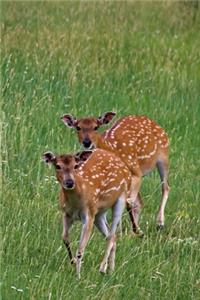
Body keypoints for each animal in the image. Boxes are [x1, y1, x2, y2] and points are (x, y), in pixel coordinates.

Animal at [43, 149, 132, 278]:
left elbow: (80, 248)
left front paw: (78, 276)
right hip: (99, 213)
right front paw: (72, 262)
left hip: (121, 198)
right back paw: (111, 270)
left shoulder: (88, 214)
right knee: (111, 236)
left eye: (75, 165)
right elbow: (65, 237)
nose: (69, 182)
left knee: (111, 236)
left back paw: (102, 268)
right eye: (58, 166)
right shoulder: (66, 213)